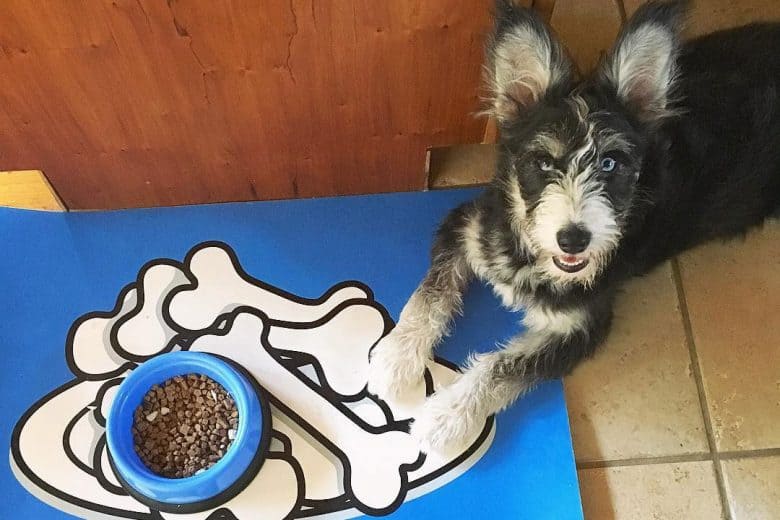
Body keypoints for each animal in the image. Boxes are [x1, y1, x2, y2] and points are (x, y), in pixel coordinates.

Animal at [366, 0, 780, 452]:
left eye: (610, 163)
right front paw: (395, 359)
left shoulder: (582, 326)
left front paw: (446, 417)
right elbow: (429, 295)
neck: (530, 256)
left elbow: (505, 365)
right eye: (544, 162)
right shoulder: (467, 227)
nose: (574, 239)